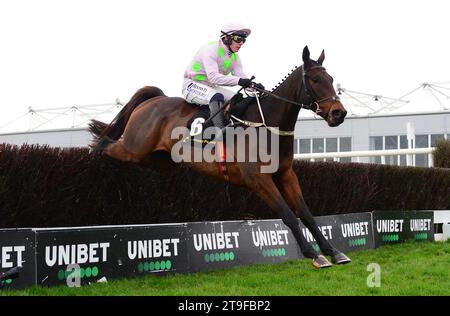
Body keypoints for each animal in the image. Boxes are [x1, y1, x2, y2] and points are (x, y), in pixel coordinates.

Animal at [89, 45, 352, 268]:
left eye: (330, 79)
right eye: (316, 80)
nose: (339, 113)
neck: (266, 125)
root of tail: (155, 99)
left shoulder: (286, 174)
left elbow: (306, 214)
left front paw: (333, 251)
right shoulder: (258, 180)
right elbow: (288, 215)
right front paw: (313, 254)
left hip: (158, 160)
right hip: (135, 148)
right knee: (107, 144)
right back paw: (96, 148)